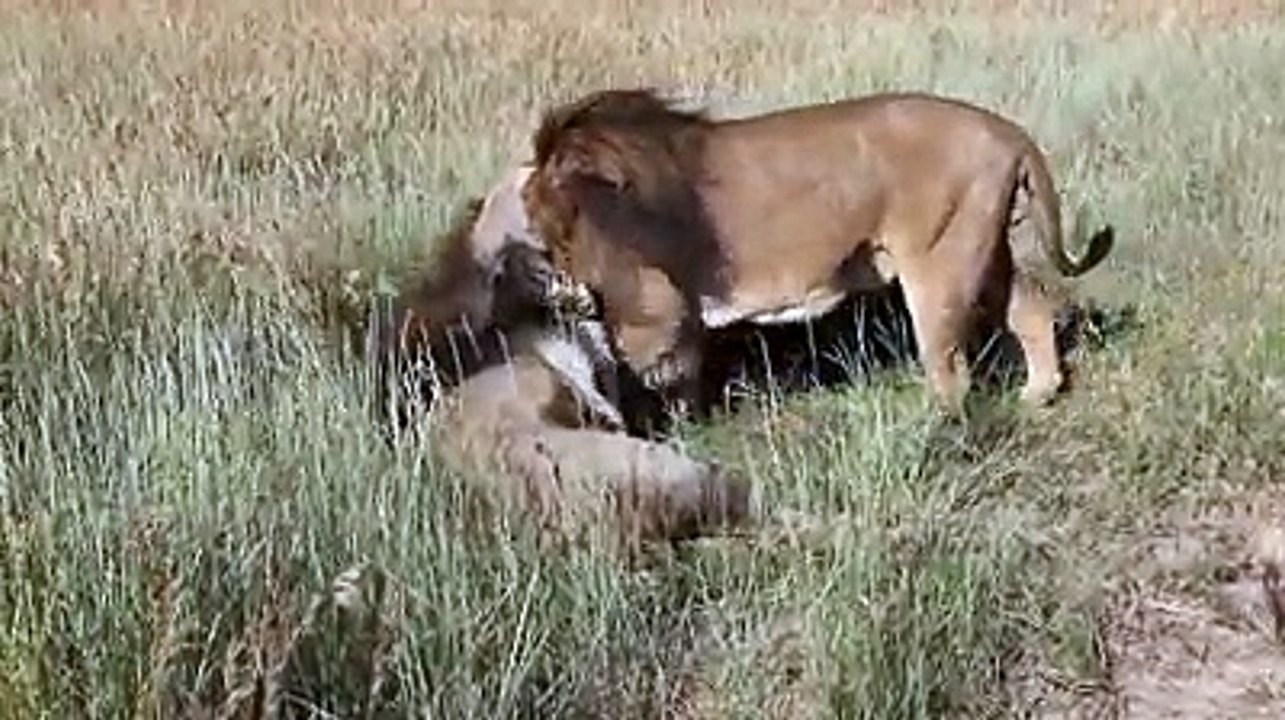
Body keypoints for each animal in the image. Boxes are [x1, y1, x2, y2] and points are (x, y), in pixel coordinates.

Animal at [521, 89, 1116, 412]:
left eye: (548, 230)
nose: (554, 274)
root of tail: (1009, 131)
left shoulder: (654, 305)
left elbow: (644, 370)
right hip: (982, 251)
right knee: (1032, 308)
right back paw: (1035, 397)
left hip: (939, 262)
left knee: (950, 371)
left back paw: (934, 431)